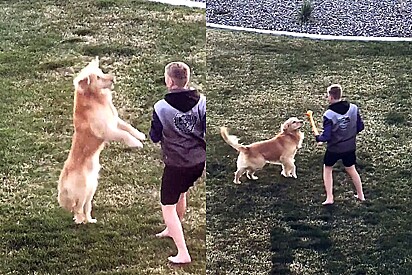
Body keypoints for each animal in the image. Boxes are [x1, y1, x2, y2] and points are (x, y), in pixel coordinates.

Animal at [57, 57, 146, 224]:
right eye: (98, 77)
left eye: (102, 72)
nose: (113, 78)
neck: (96, 99)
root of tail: (62, 185)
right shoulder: (107, 130)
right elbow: (124, 135)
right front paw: (136, 143)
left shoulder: (115, 121)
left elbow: (128, 128)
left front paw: (140, 135)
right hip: (83, 191)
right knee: (77, 209)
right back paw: (81, 221)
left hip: (91, 190)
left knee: (86, 208)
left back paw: (90, 220)